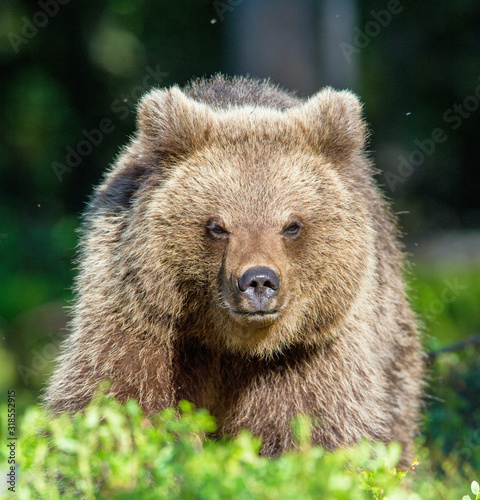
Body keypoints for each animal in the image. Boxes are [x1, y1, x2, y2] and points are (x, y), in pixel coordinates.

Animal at [46, 75, 424, 468]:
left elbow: (311, 425)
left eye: (291, 225)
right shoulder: (141, 321)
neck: (230, 344)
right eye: (217, 226)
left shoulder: (310, 350)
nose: (258, 280)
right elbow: (116, 403)